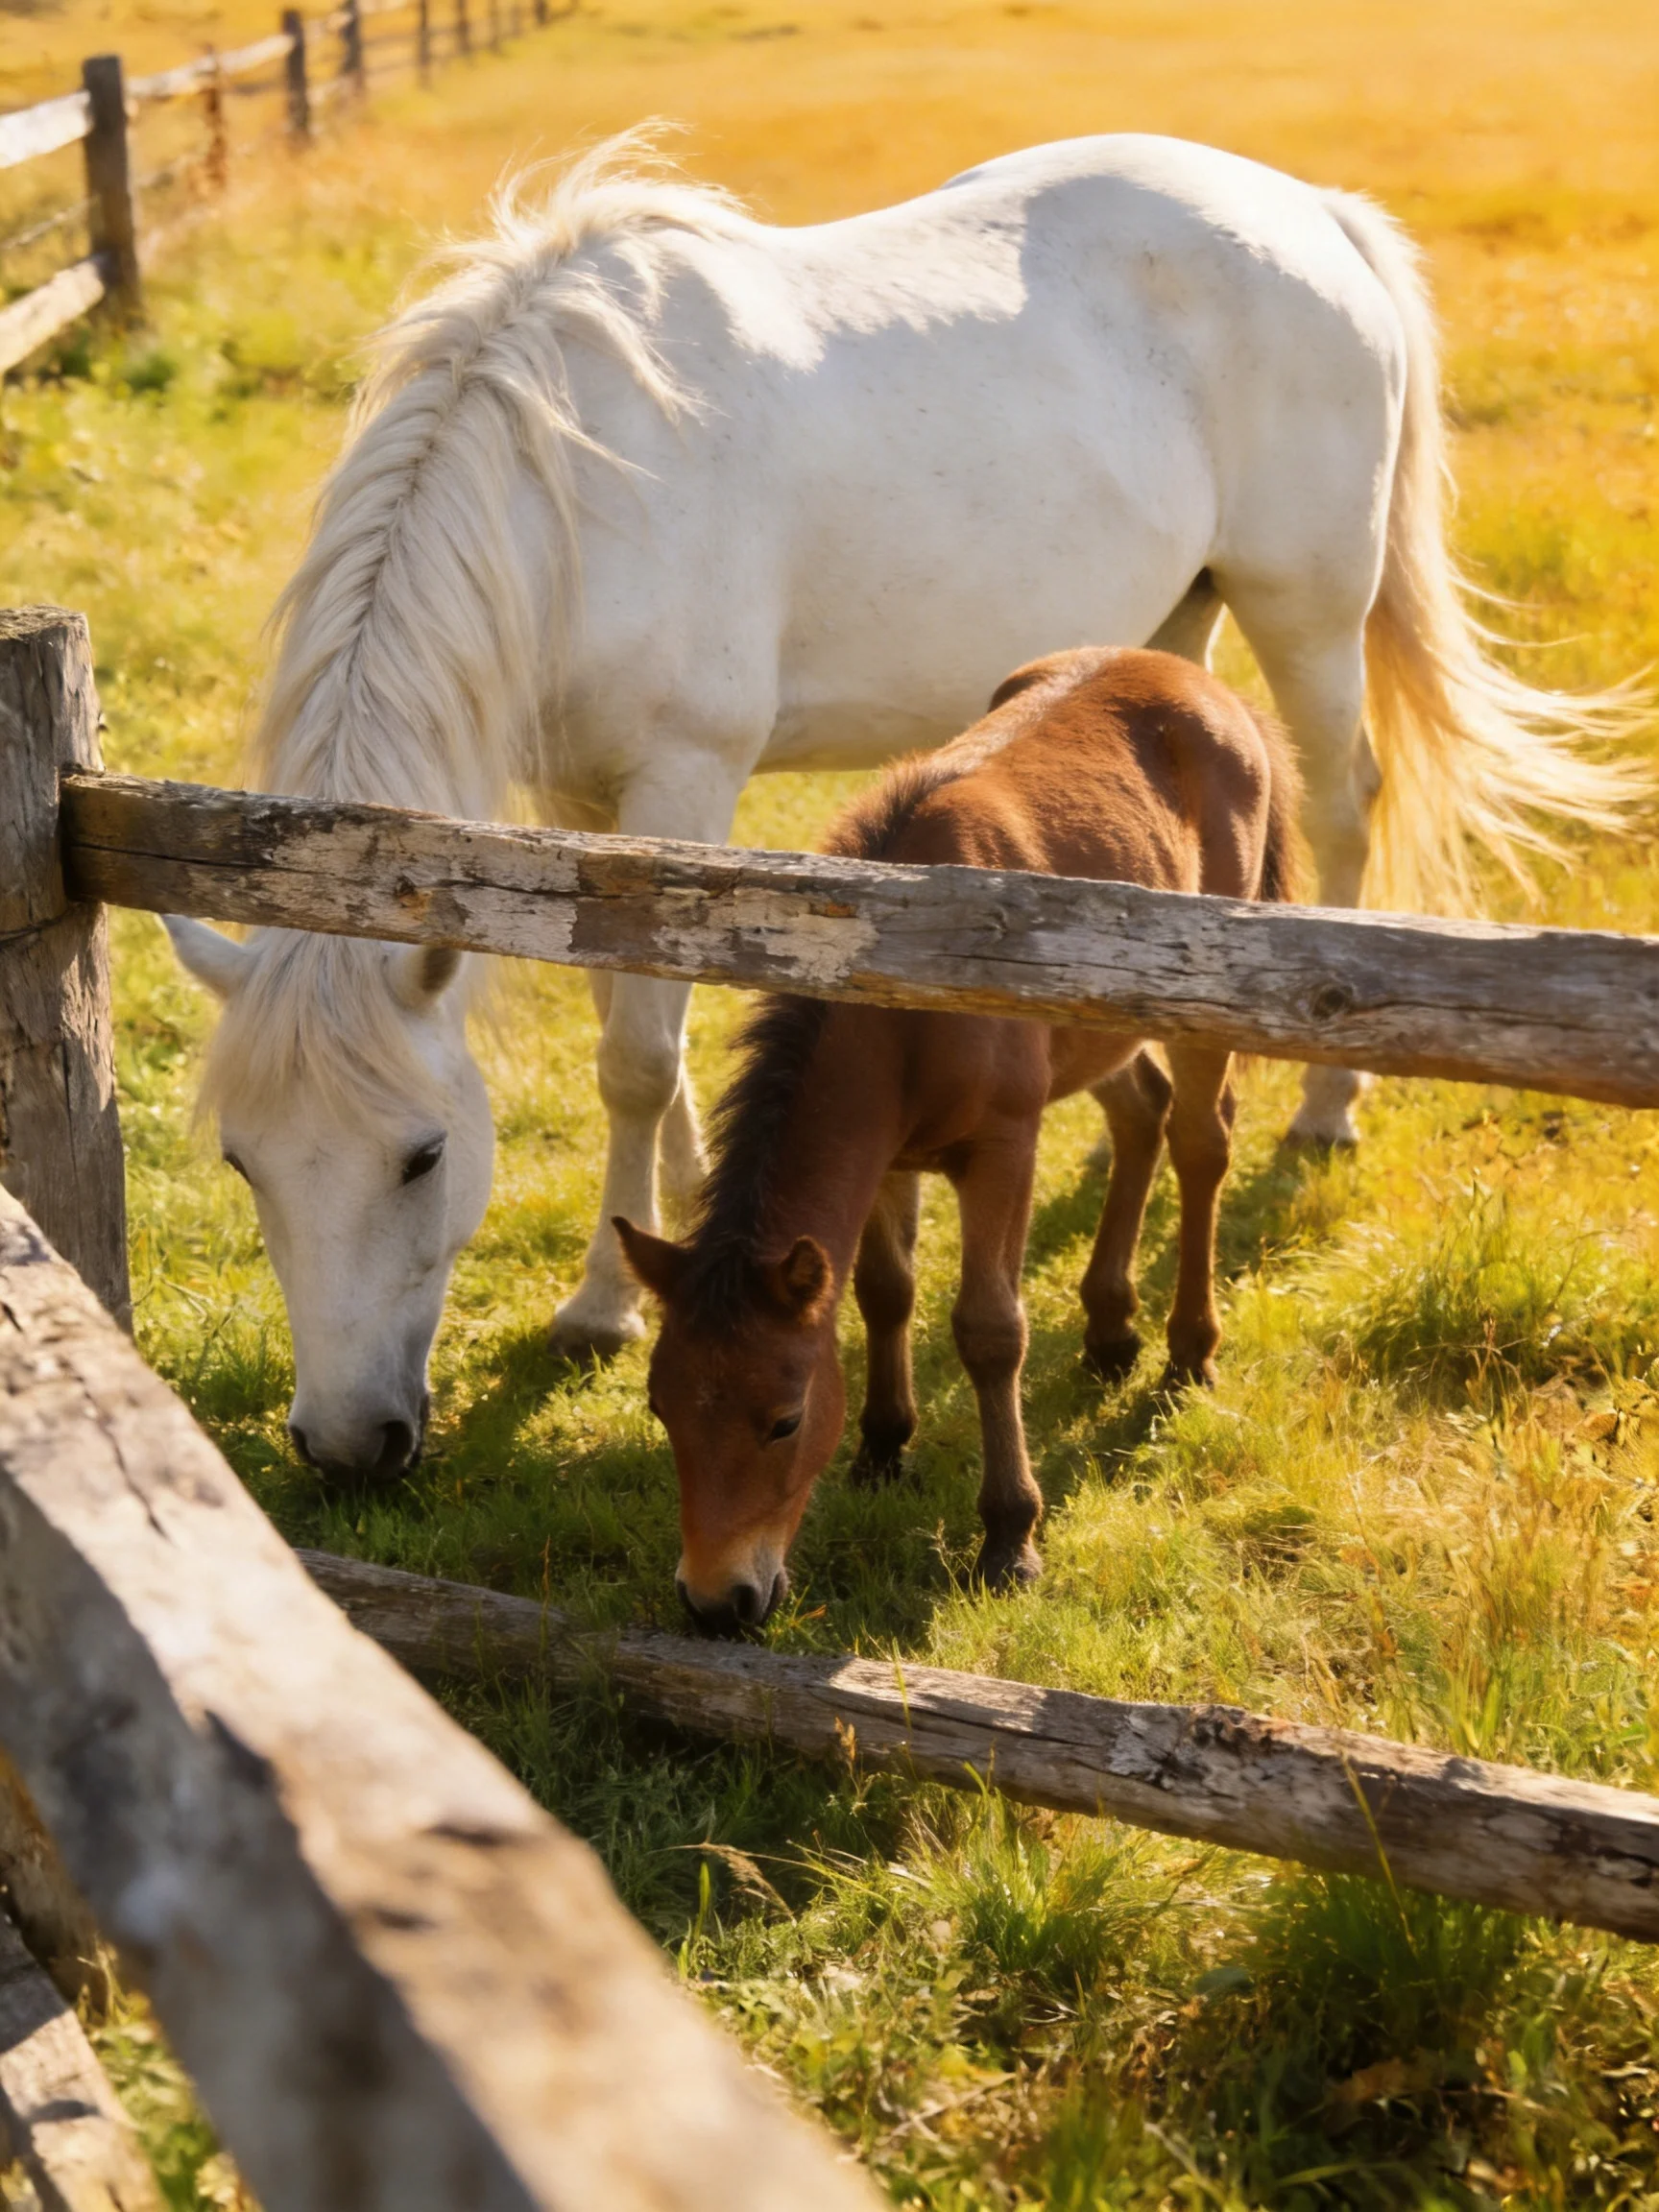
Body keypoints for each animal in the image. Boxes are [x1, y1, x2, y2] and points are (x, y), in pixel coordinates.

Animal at [166, 131, 1640, 1484]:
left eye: (423, 1157)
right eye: (243, 1163)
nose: (346, 1447)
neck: (574, 486)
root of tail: (1309, 209)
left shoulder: (683, 775)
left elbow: (637, 1052)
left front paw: (597, 1306)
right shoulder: (575, 810)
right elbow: (636, 1027)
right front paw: (683, 1217)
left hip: (1309, 614)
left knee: (1344, 814)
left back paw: (1327, 1105)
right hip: (1176, 620)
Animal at [613, 644, 1299, 1631]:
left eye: (784, 1419)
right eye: (661, 1408)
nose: (716, 1603)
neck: (901, 986)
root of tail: (1202, 681)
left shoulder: (1003, 1148)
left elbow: (989, 1329)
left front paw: (1010, 1534)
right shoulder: (886, 1155)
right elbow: (883, 1292)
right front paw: (882, 1447)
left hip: (1200, 1004)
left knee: (1202, 1140)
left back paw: (1187, 1351)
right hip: (1097, 1027)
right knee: (1141, 1111)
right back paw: (1109, 1328)